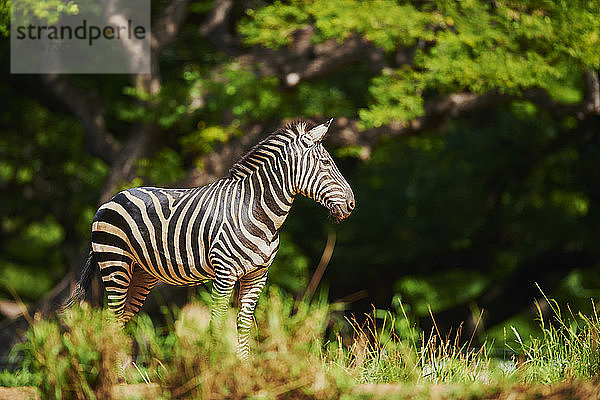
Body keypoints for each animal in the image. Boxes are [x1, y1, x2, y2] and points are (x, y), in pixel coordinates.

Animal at [64, 119, 356, 360]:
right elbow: (217, 321)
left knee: (121, 321)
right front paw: (217, 369)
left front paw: (244, 369)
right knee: (111, 321)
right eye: (327, 164)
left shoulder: (257, 276)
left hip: (141, 274)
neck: (255, 210)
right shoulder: (224, 272)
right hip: (115, 265)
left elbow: (243, 324)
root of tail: (112, 198)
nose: (352, 204)